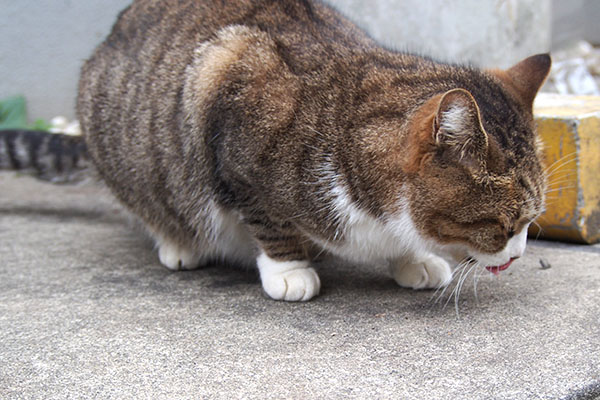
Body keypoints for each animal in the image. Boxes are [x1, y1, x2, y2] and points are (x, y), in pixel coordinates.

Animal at [3, 0, 552, 300]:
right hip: (131, 141)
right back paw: (180, 242)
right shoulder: (231, 109)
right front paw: (290, 270)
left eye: (532, 222)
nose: (521, 254)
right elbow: (268, 218)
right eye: (504, 225)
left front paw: (412, 258)